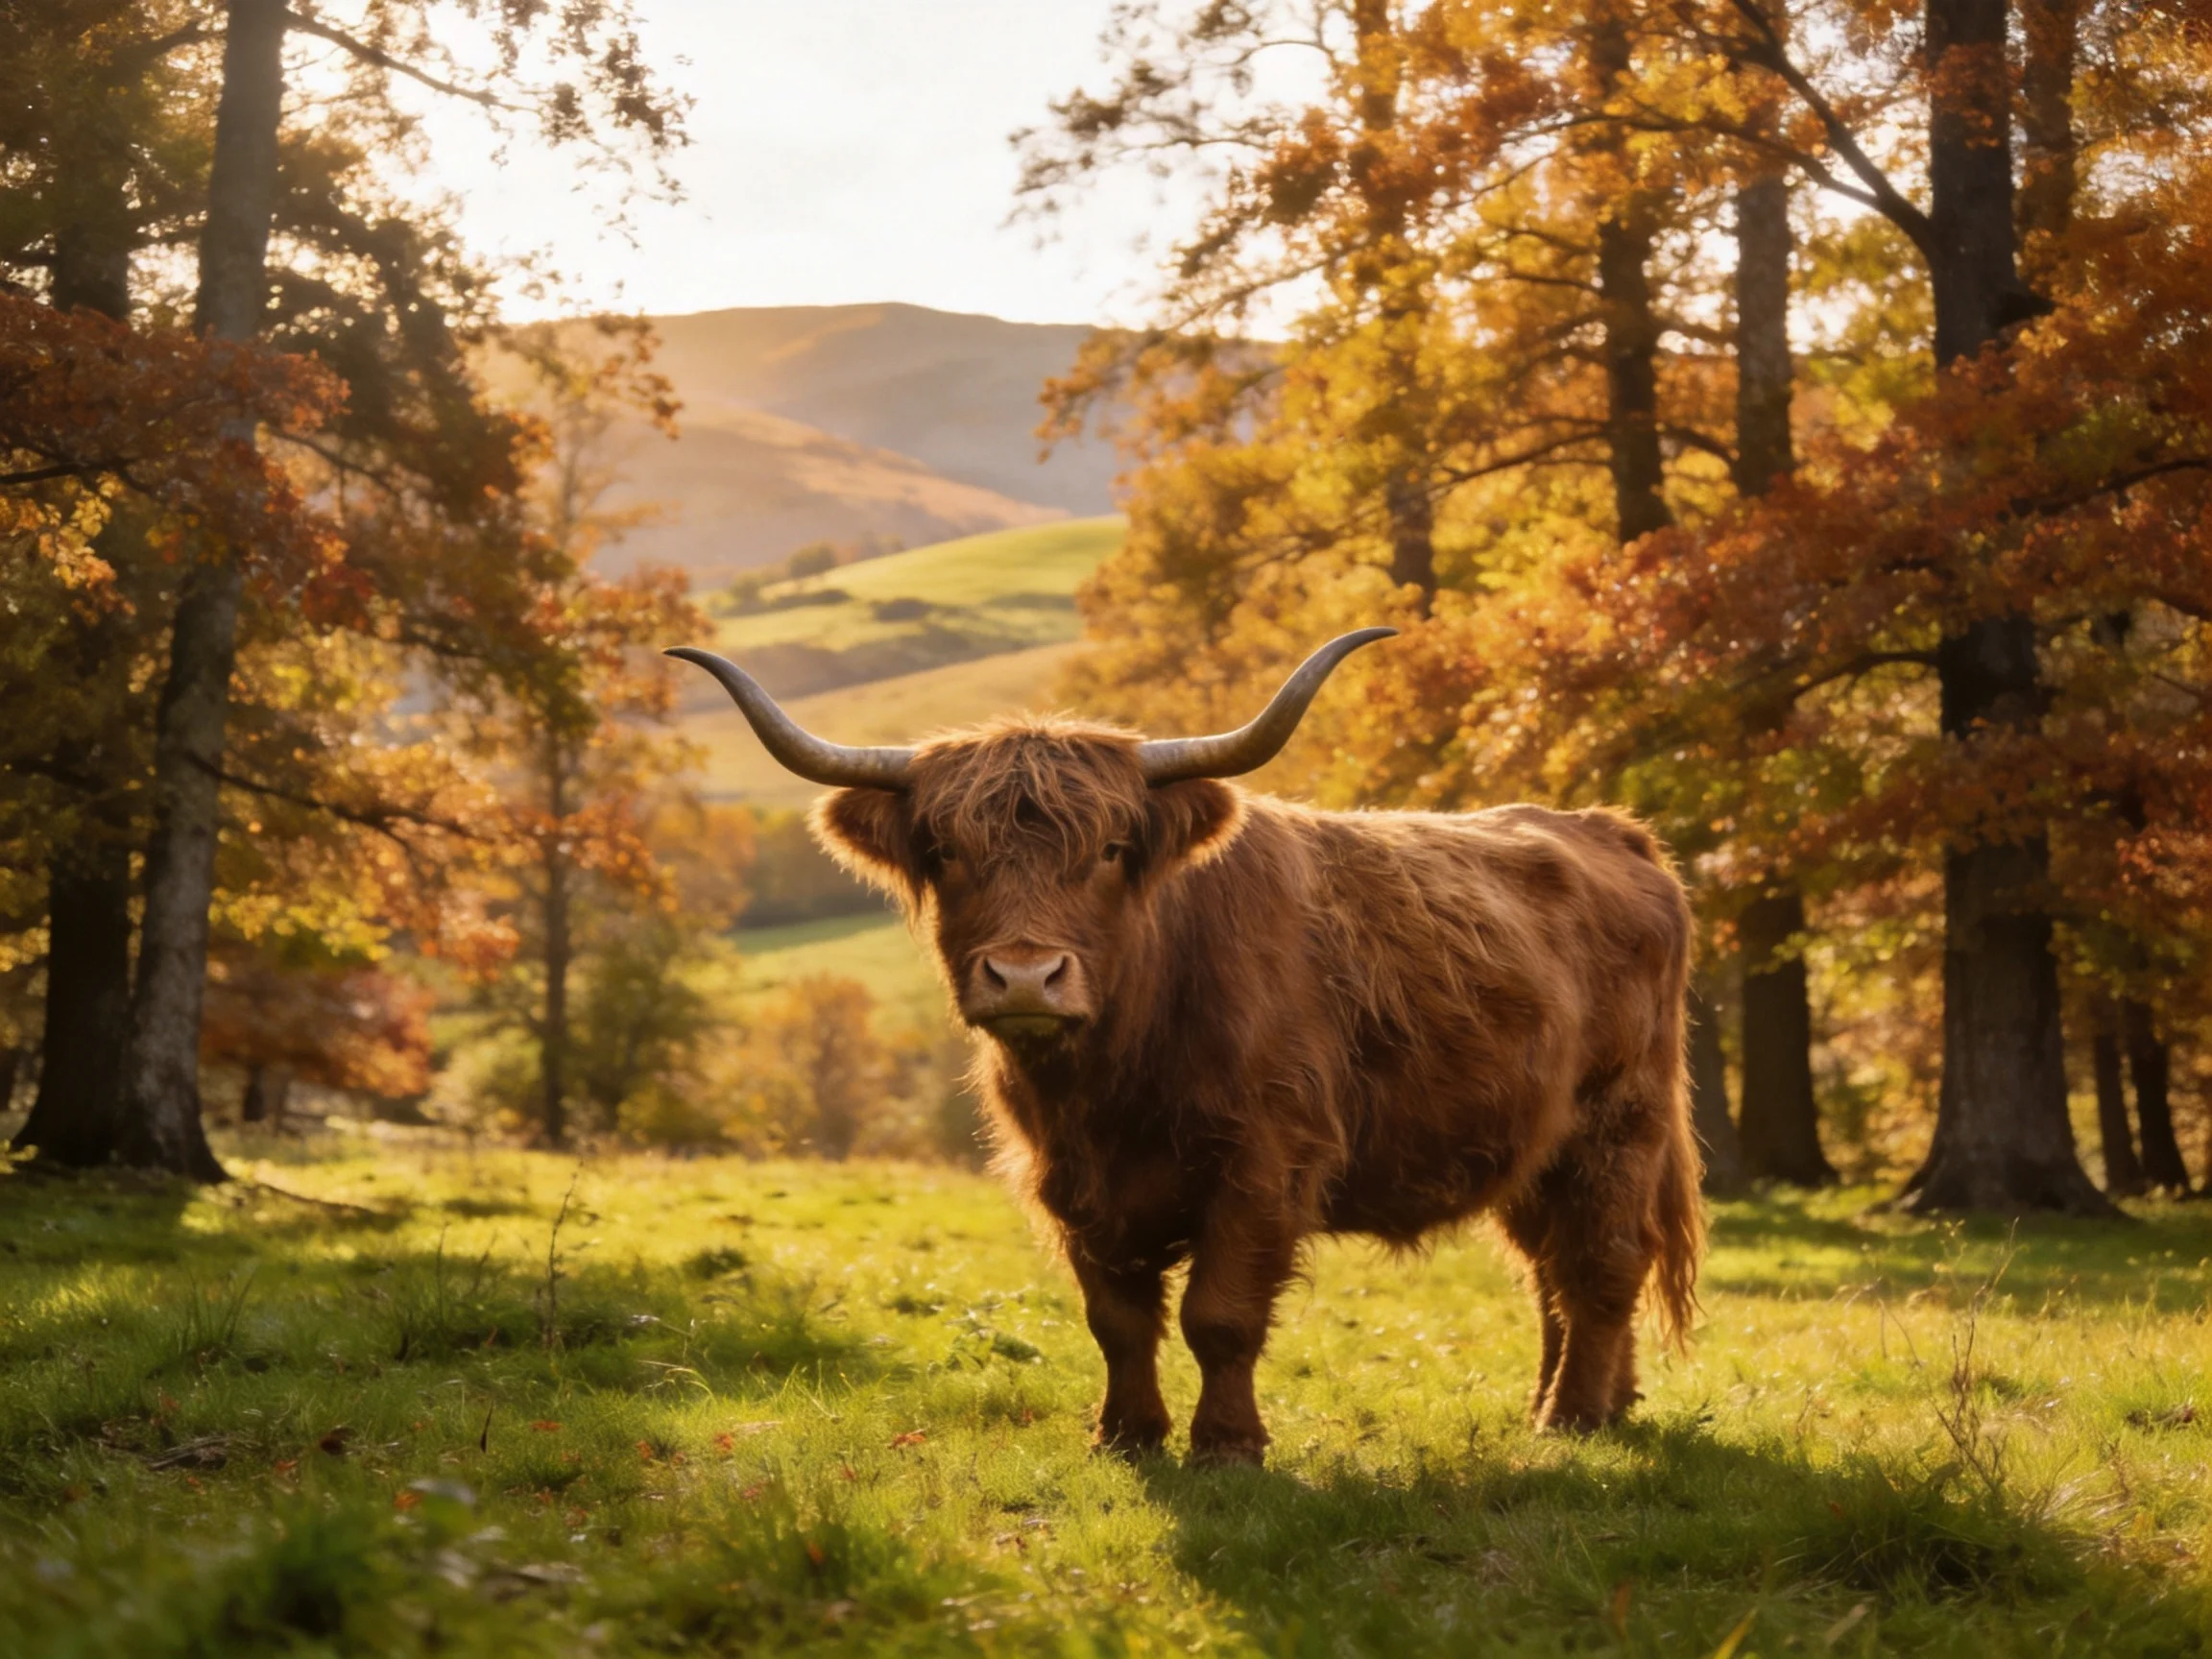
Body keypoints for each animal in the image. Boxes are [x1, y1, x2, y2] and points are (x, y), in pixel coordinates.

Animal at [671, 630, 1703, 1465]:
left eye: (1111, 849)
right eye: (947, 851)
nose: (1025, 976)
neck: (1114, 1081)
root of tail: (1613, 832)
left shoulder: (1265, 1164)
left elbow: (1220, 1315)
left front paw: (1228, 1445)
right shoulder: (1070, 1182)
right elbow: (1118, 1321)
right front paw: (1126, 1436)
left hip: (1620, 1121)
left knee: (1603, 1262)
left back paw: (1573, 1419)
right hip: (1535, 1148)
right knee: (1551, 1272)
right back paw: (1582, 1402)